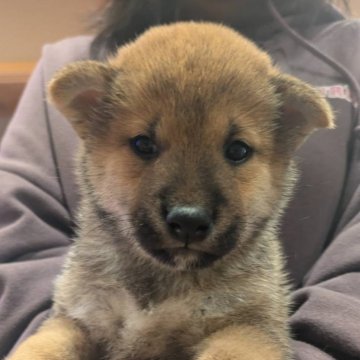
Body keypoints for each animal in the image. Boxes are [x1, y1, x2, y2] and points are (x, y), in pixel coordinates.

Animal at [9, 21, 334, 360]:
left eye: (237, 150)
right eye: (143, 144)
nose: (189, 221)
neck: (161, 281)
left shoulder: (248, 326)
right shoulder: (79, 316)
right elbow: (44, 345)